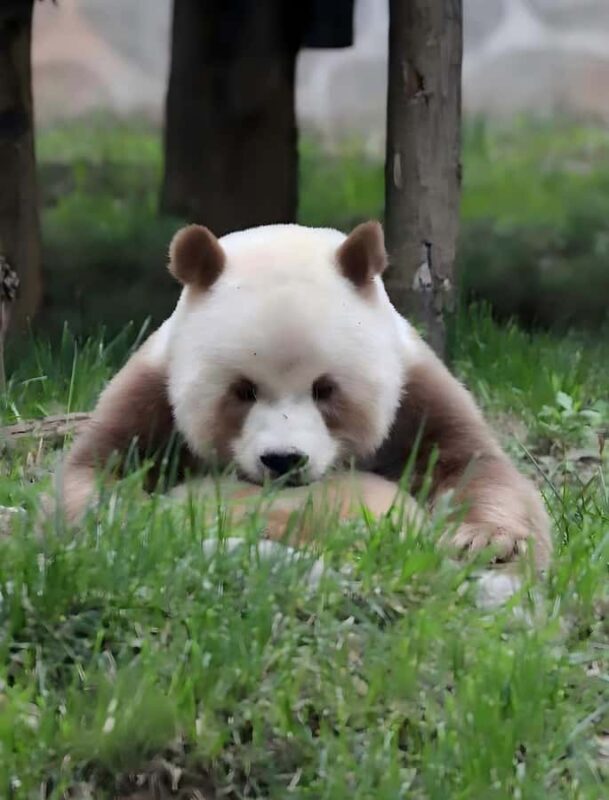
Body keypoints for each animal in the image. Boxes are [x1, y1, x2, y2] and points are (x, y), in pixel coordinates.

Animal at [60, 221, 552, 567]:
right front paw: (123, 518)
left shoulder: (415, 393)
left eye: (325, 389)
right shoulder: (152, 393)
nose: (283, 461)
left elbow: (470, 465)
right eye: (242, 390)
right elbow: (98, 468)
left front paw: (485, 539)